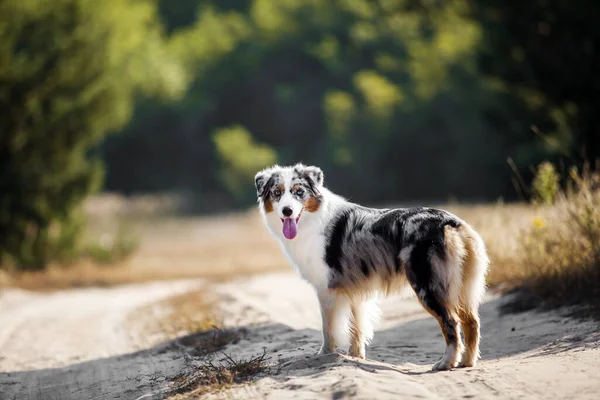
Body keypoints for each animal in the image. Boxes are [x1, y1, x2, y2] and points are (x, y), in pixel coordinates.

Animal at [253, 164, 488, 370]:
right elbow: (357, 327)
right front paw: (355, 357)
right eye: (277, 192)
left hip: (428, 285)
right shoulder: (355, 289)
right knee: (472, 321)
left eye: (299, 192)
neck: (313, 219)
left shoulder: (326, 289)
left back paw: (446, 362)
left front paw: (324, 356)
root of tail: (451, 222)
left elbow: (328, 328)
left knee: (451, 323)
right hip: (462, 287)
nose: (287, 210)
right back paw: (467, 362)